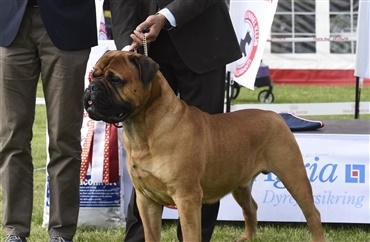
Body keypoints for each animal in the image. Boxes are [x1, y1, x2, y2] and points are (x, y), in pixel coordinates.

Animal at [83, 50, 324, 241]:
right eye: (94, 75)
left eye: (115, 79)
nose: (92, 87)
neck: (143, 129)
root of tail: (275, 116)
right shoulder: (146, 200)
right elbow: (151, 234)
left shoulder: (187, 198)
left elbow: (191, 234)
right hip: (240, 184)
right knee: (251, 208)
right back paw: (246, 238)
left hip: (293, 175)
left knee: (312, 213)